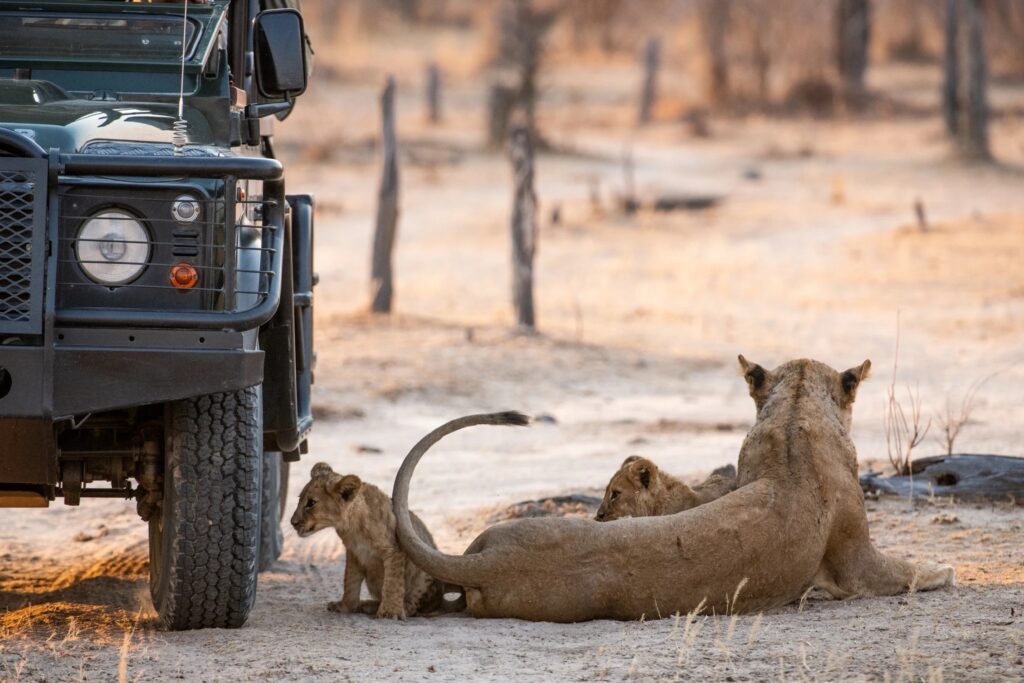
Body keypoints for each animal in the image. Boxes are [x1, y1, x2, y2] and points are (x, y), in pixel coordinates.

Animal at [290, 463, 461, 619]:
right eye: (299, 499)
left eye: (311, 503)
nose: (293, 522)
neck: (351, 528)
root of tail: (440, 600)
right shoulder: (354, 552)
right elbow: (350, 581)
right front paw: (346, 606)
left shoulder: (394, 549)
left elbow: (392, 583)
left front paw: (390, 612)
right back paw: (368, 604)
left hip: (423, 573)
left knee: (415, 607)